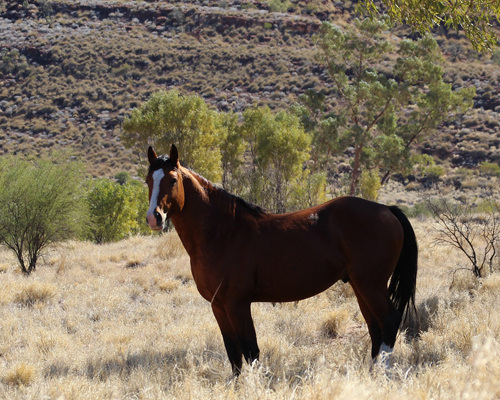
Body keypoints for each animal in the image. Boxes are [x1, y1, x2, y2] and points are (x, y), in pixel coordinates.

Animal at [146, 145, 418, 376]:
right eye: (148, 180)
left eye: (172, 180)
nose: (154, 218)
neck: (223, 231)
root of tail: (387, 209)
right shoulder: (219, 306)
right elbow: (233, 353)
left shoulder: (238, 304)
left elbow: (250, 350)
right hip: (360, 286)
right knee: (375, 328)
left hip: (371, 285)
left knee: (389, 321)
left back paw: (381, 375)